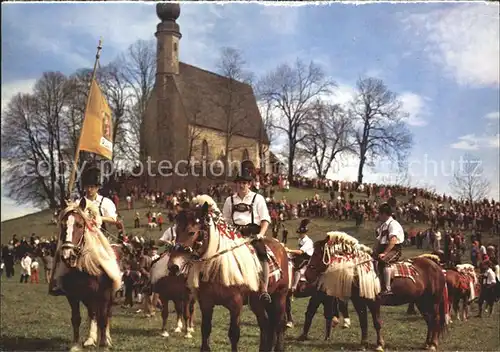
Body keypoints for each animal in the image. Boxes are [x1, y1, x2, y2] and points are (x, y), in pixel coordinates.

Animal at [53, 199, 122, 350]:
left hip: (108, 297)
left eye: (79, 225)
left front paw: (104, 344)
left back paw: (106, 338)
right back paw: (91, 339)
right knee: (93, 314)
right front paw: (75, 345)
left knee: (106, 315)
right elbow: (76, 318)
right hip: (89, 298)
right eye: (63, 225)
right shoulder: (73, 295)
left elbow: (103, 319)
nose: (67, 255)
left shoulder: (104, 294)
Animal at [168, 195, 290, 352]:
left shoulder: (235, 305)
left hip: (280, 295)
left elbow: (234, 334)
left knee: (279, 324)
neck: (218, 268)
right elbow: (205, 330)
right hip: (258, 302)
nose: (173, 266)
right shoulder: (206, 304)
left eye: (191, 232)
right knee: (266, 325)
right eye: (176, 232)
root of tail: (281, 247)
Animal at [304, 232, 450, 350]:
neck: (359, 270)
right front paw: (363, 344)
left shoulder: (374, 302)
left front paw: (379, 344)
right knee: (429, 320)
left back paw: (433, 344)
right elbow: (363, 322)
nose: (307, 275)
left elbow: (377, 323)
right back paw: (426, 343)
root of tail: (437, 267)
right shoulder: (359, 302)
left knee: (436, 319)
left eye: (317, 253)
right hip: (421, 301)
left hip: (434, 301)